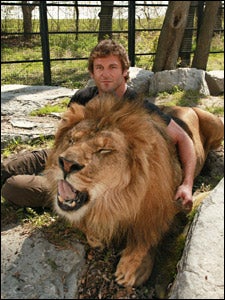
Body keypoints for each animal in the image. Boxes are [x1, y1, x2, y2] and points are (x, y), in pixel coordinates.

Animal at [44, 95, 224, 288]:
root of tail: (184, 106)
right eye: (71, 140)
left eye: (104, 150)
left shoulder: (167, 208)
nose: (66, 163)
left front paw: (132, 268)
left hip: (216, 124)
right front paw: (95, 235)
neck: (119, 198)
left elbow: (147, 235)